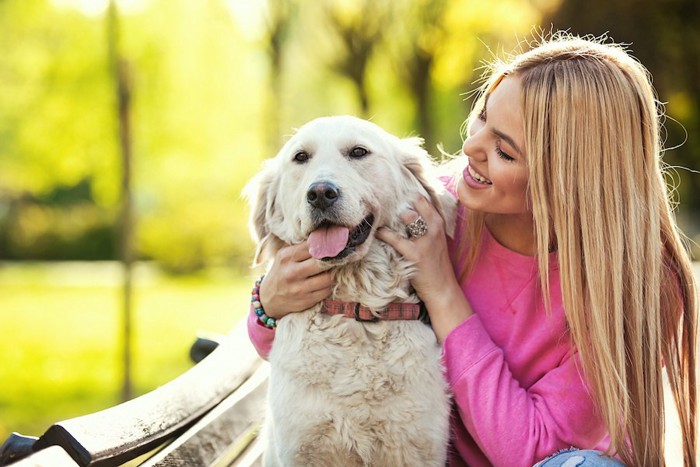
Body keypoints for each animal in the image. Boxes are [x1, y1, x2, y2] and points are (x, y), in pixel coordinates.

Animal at [245, 114, 454, 467]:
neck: (356, 310)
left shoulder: (415, 449)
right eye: (300, 157)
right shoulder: (302, 449)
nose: (320, 193)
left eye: (358, 152)